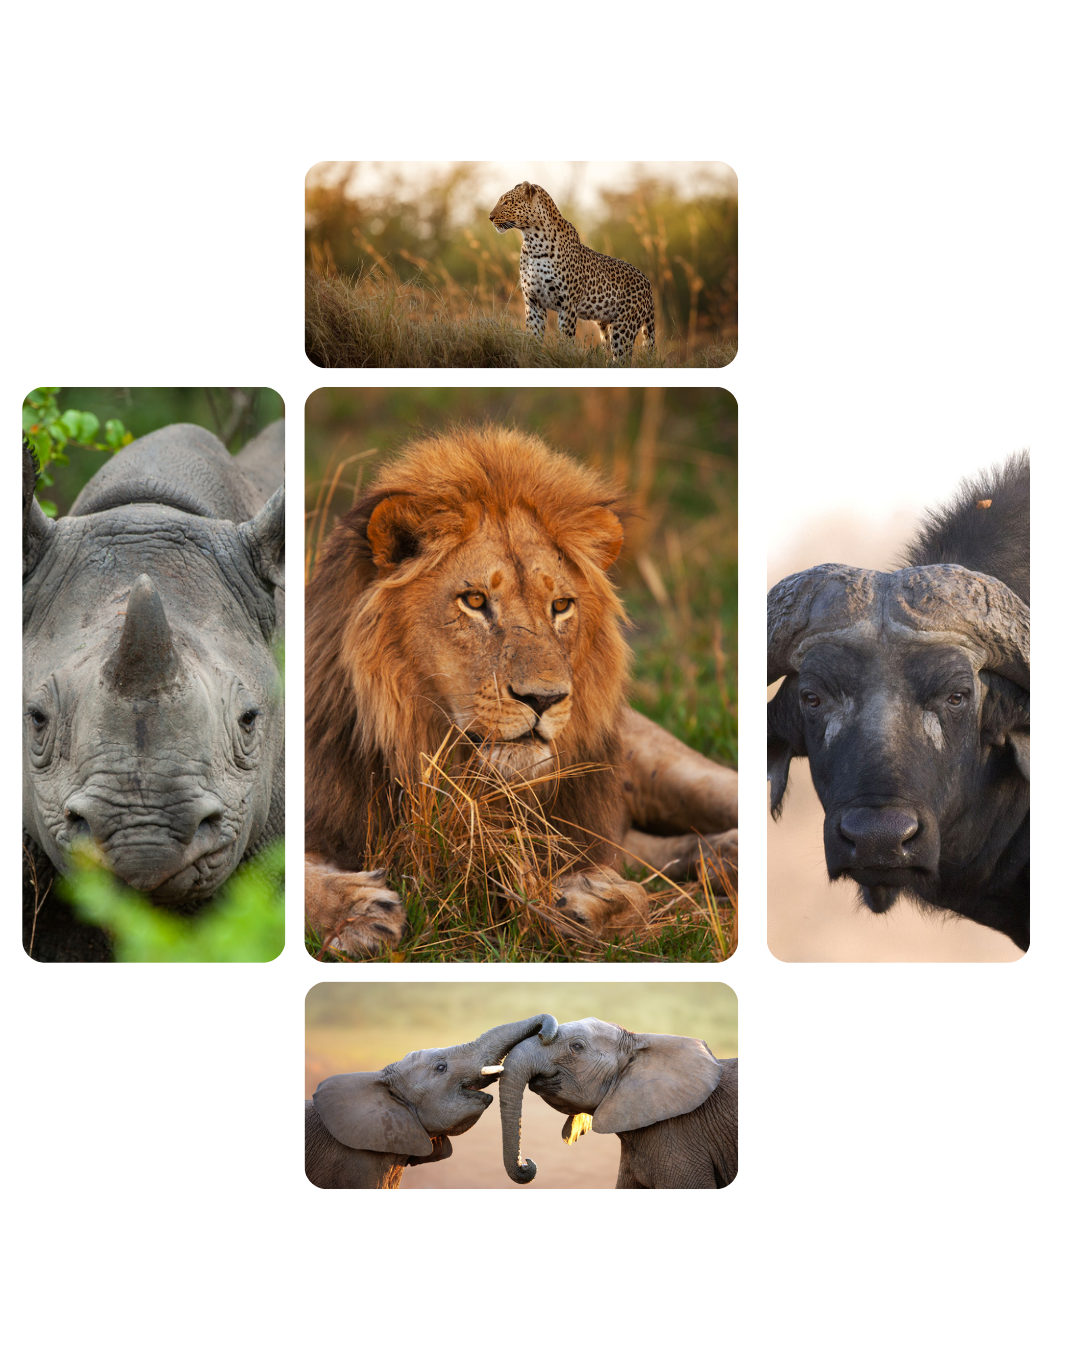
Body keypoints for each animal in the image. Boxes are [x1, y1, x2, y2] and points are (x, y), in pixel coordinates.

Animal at [304, 424, 739, 955]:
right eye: (474, 600)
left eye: (561, 605)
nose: (544, 699)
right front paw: (355, 911)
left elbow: (632, 893)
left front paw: (590, 903)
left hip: (671, 769)